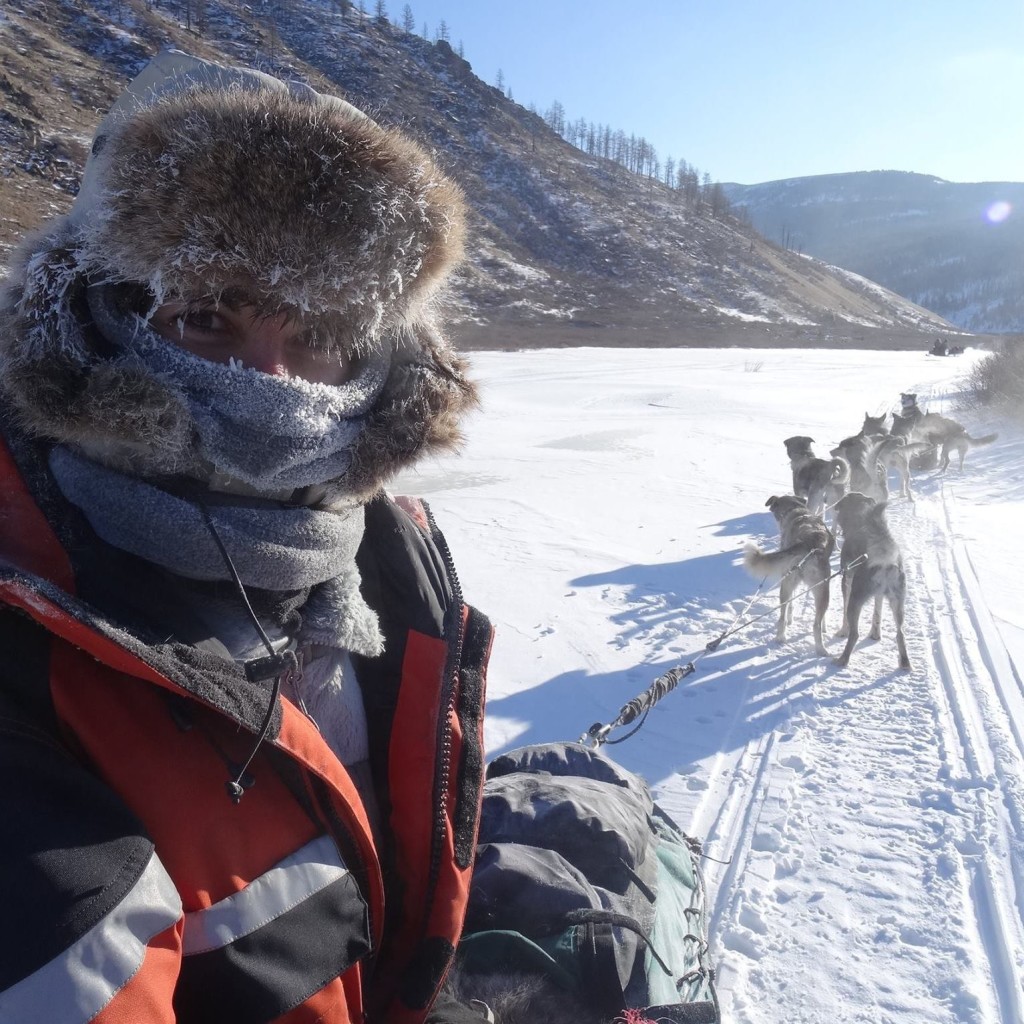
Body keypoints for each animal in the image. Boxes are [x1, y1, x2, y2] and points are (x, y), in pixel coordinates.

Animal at [744, 494, 834, 655]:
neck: (796, 509)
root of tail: (810, 543)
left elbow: (791, 605)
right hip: (822, 590)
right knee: (816, 623)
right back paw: (820, 648)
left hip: (787, 583)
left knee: (783, 616)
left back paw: (781, 637)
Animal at [832, 492, 910, 670]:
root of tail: (886, 561)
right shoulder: (879, 594)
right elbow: (877, 612)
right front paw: (875, 634)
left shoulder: (846, 580)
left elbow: (845, 615)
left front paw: (842, 631)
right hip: (898, 603)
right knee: (900, 634)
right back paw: (905, 662)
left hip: (855, 601)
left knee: (854, 634)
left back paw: (842, 660)